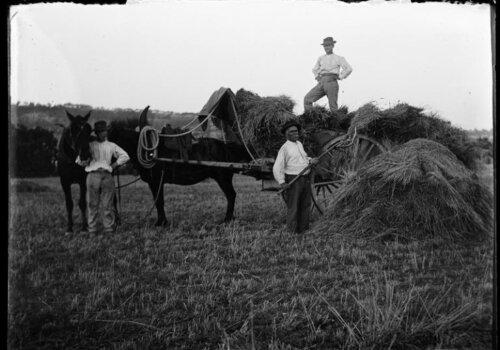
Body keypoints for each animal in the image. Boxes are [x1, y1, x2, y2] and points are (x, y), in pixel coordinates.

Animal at [106, 108, 254, 226]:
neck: (147, 150)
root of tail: (226, 145)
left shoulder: (156, 181)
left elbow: (159, 201)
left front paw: (161, 223)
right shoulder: (154, 182)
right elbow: (158, 201)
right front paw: (162, 221)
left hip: (222, 177)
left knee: (231, 195)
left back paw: (227, 219)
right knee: (231, 195)